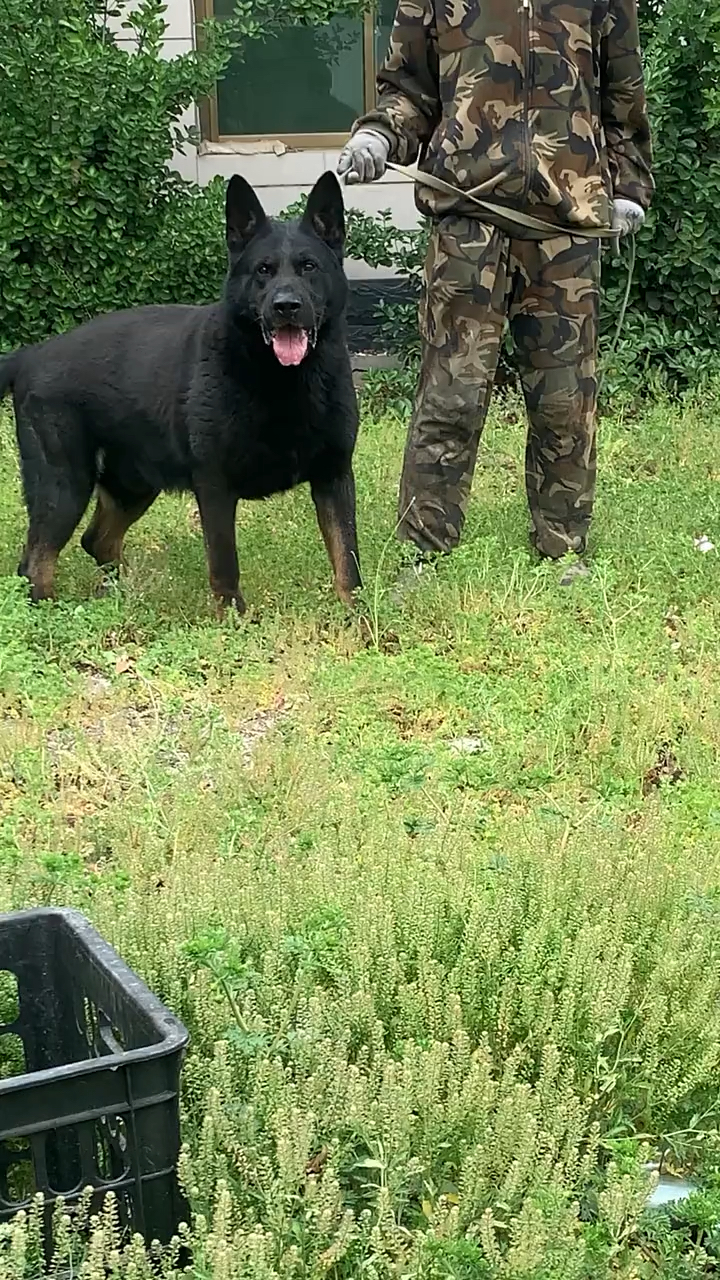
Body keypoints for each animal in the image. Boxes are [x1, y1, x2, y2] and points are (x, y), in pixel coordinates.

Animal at [0, 172, 358, 611]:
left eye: (309, 267)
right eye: (263, 270)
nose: (285, 306)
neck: (281, 379)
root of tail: (30, 355)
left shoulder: (334, 477)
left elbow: (348, 562)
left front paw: (358, 619)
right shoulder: (215, 487)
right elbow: (224, 568)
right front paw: (233, 623)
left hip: (132, 485)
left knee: (95, 541)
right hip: (64, 486)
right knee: (36, 564)